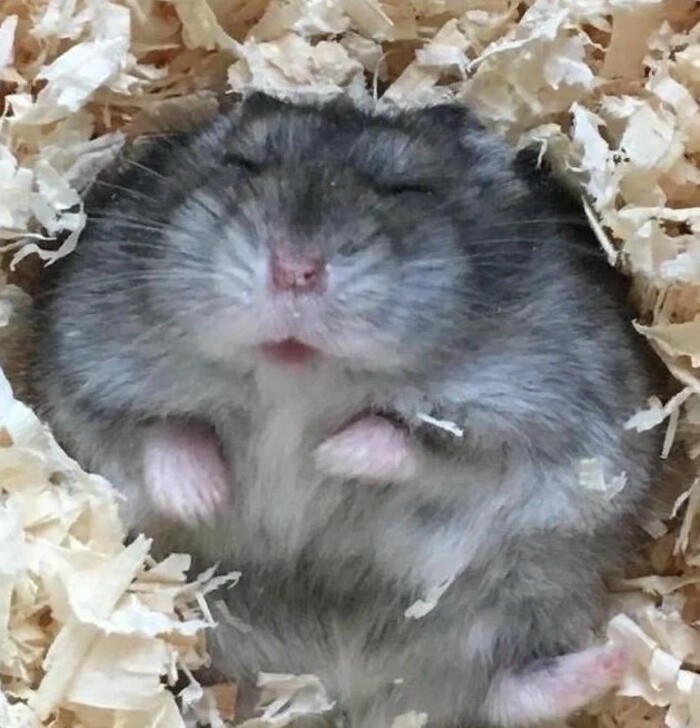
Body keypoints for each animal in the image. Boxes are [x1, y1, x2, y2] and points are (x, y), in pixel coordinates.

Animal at [31, 93, 665, 726]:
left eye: (409, 187)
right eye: (241, 165)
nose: (294, 270)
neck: (297, 388)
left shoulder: (555, 429)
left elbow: (424, 445)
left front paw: (330, 453)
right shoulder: (81, 378)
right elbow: (157, 431)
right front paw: (205, 495)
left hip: (522, 600)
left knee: (508, 692)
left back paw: (620, 656)